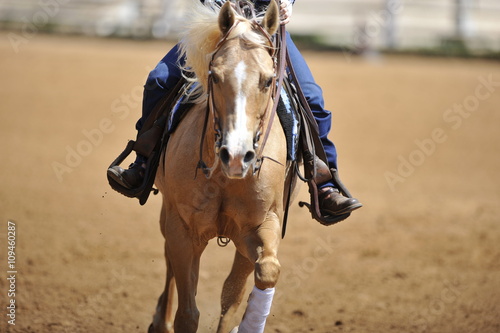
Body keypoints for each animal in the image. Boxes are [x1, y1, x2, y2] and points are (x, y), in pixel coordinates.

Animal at [150, 0, 290, 332]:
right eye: (214, 76)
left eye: (268, 80)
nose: (236, 156)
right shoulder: (183, 228)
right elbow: (188, 314)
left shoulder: (260, 225)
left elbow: (254, 281)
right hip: (170, 217)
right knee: (170, 262)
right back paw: (159, 321)